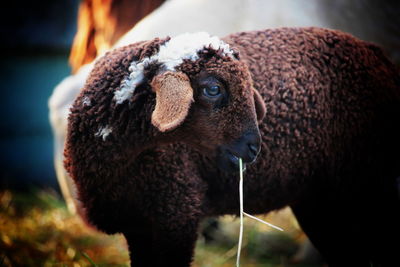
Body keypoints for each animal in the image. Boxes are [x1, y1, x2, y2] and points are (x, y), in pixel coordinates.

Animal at [65, 28, 400, 266]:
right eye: (213, 88)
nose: (254, 148)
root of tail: (377, 54)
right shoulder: (138, 226)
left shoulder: (176, 213)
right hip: (321, 200)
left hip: (363, 187)